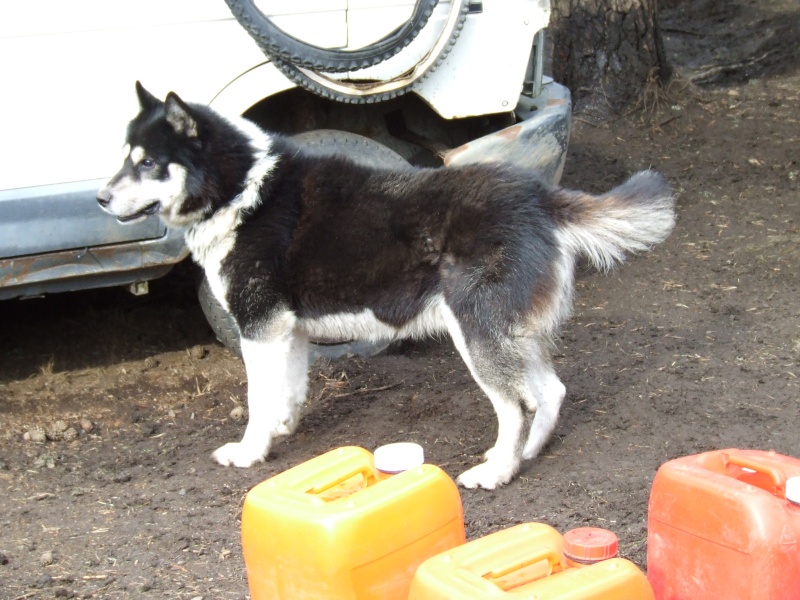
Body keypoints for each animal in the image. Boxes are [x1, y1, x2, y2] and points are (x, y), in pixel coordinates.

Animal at [98, 83, 676, 488]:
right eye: (124, 156)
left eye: (148, 163)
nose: (101, 199)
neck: (239, 187)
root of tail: (538, 195)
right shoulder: (288, 328)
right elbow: (290, 391)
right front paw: (282, 430)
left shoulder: (259, 326)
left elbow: (258, 400)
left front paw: (249, 451)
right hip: (510, 332)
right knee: (548, 392)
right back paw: (522, 456)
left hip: (476, 334)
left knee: (517, 405)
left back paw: (497, 474)